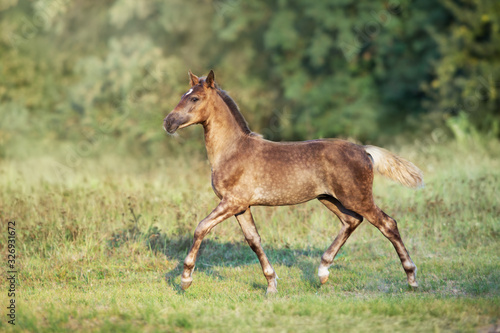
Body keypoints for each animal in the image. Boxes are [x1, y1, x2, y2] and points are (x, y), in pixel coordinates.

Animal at [163, 70, 422, 294]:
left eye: (194, 98)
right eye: (183, 95)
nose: (168, 122)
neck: (232, 150)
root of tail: (364, 150)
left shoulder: (232, 202)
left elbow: (201, 228)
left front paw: (185, 279)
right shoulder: (242, 206)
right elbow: (254, 240)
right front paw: (271, 284)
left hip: (358, 198)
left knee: (388, 224)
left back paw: (411, 279)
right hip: (329, 198)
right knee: (351, 221)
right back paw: (323, 272)